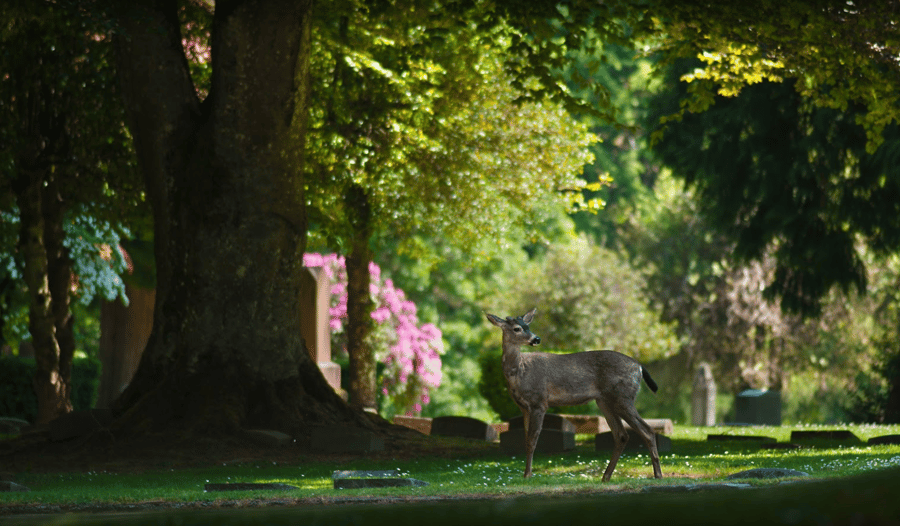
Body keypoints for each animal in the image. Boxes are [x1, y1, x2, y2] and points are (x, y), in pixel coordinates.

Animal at [486, 308, 663, 481]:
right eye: (517, 328)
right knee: (622, 435)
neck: (519, 373)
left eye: (528, 326)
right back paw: (605, 477)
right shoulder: (523, 407)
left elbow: (532, 440)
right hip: (604, 401)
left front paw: (528, 475)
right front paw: (525, 474)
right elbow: (525, 440)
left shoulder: (539, 402)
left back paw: (658, 475)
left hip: (623, 396)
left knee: (647, 431)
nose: (536, 339)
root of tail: (639, 367)